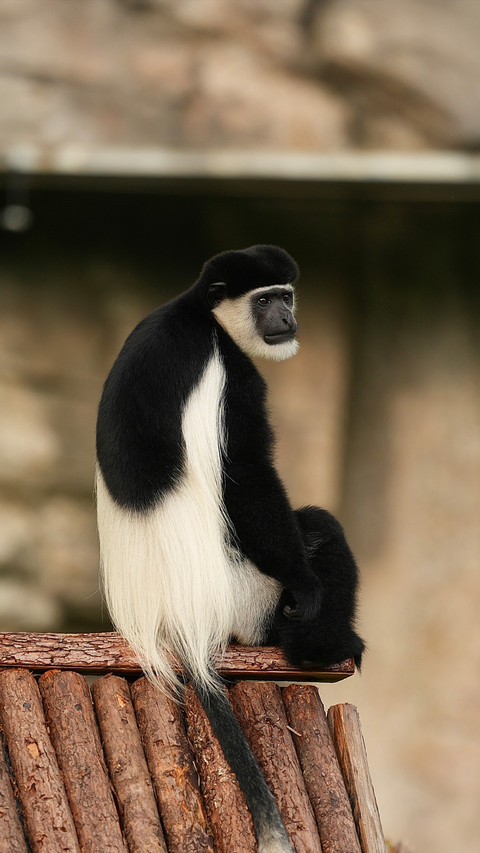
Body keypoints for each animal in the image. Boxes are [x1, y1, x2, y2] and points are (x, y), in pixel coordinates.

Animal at [96, 245, 364, 853]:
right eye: (264, 301)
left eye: (285, 296)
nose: (286, 318)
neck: (202, 315)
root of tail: (180, 622)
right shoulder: (233, 377)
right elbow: (245, 474)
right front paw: (309, 588)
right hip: (249, 598)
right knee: (317, 528)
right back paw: (328, 643)